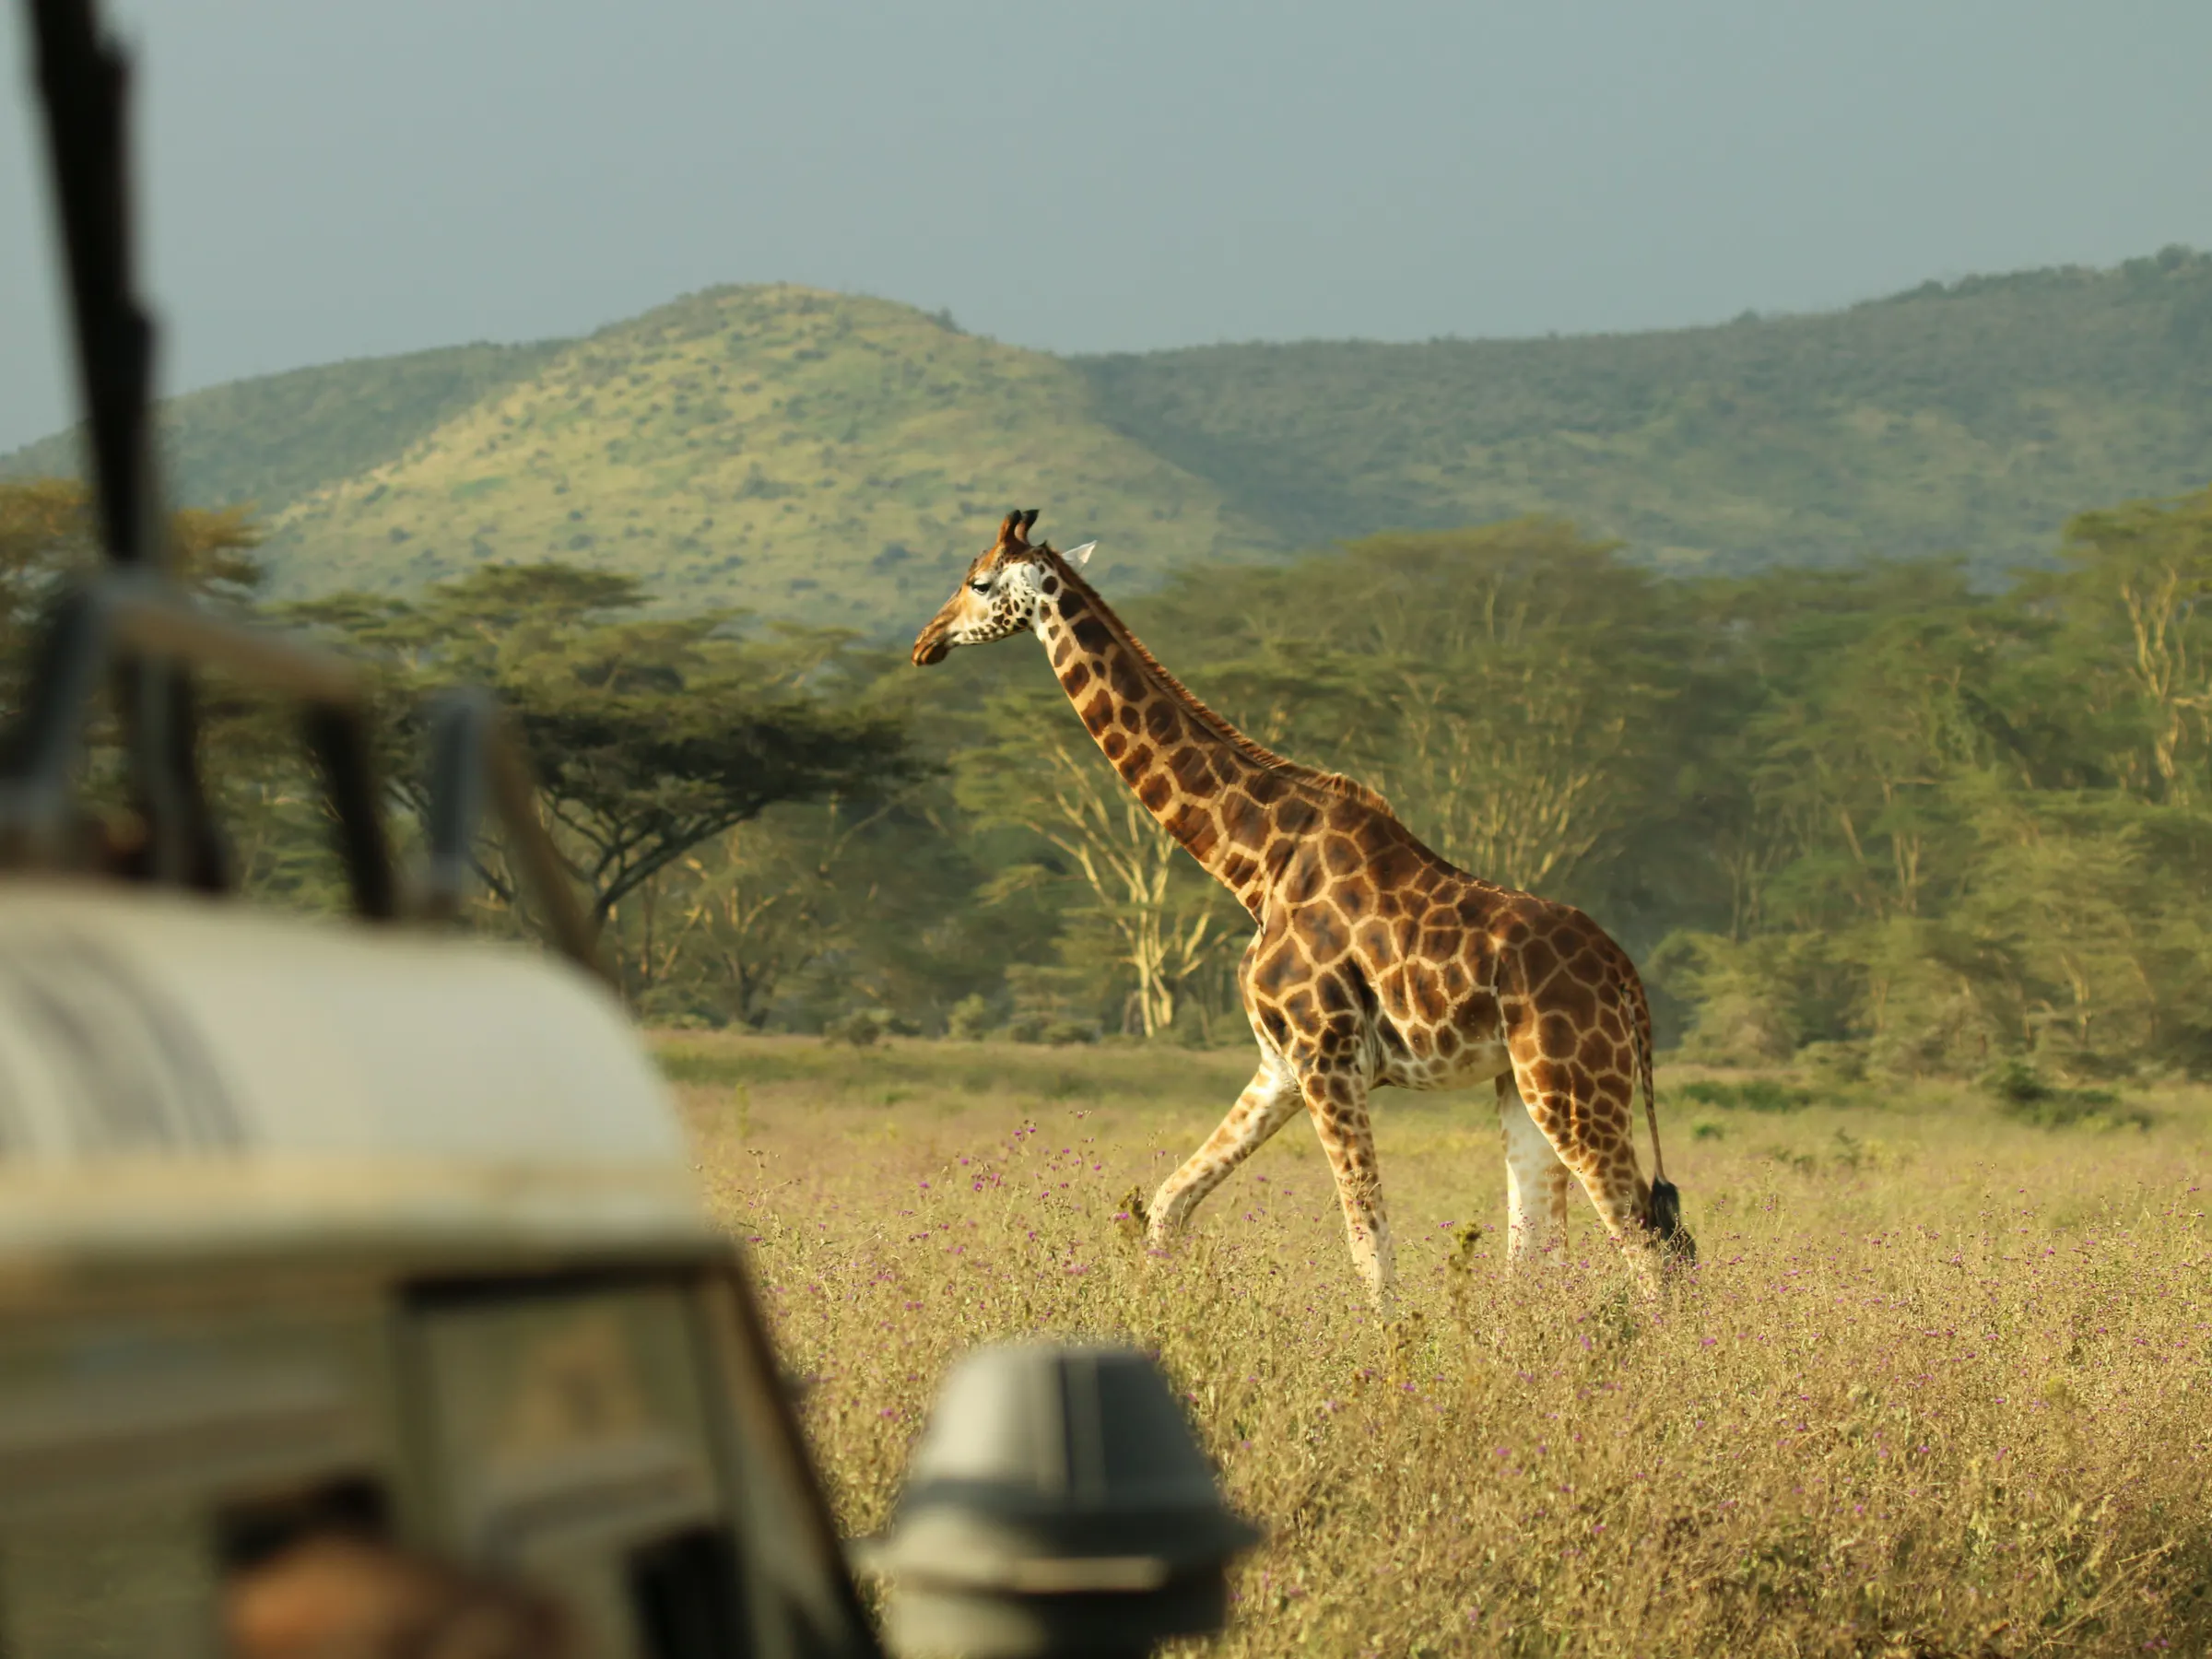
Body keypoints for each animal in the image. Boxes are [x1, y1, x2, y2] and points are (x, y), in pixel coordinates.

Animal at [912, 509, 1693, 1302]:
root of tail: (1627, 977)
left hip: (1572, 1080)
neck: (1255, 864)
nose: (926, 642)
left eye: (979, 581)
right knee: (1548, 1248)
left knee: (1646, 1240)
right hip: (1524, 1084)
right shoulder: (1278, 1065)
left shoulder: (1328, 1057)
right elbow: (1166, 1206)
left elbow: (1369, 1243)